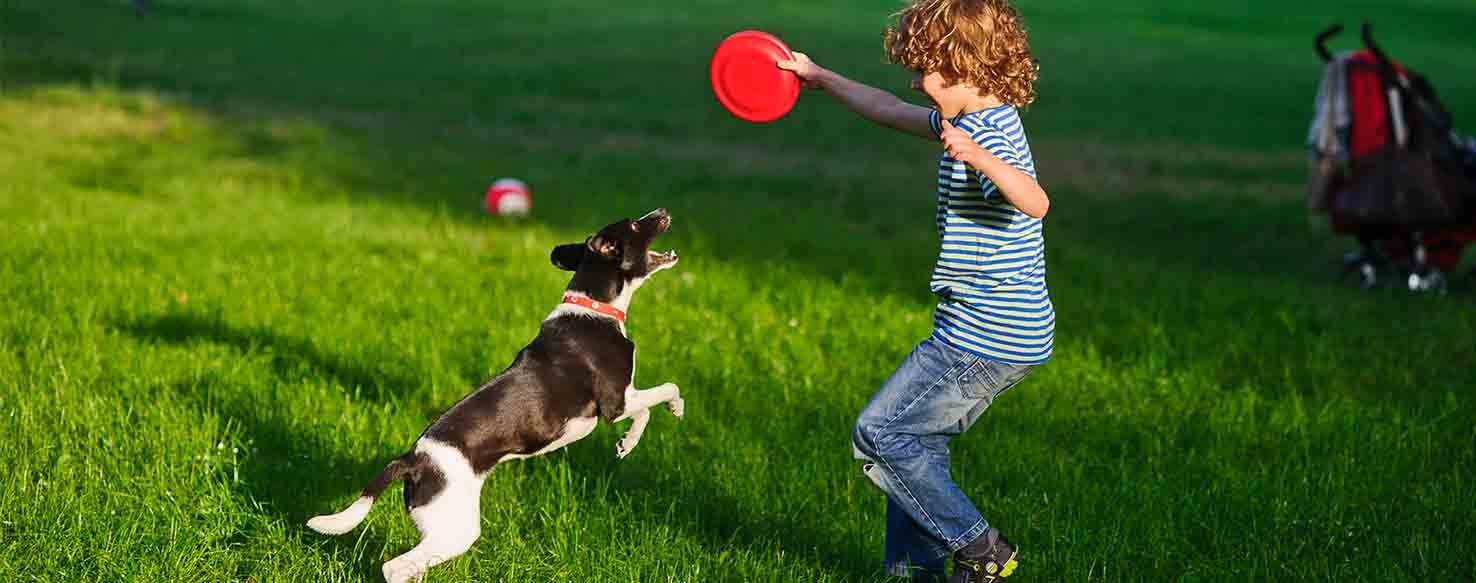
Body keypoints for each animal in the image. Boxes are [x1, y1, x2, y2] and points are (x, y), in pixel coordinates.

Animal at [309, 208, 684, 581]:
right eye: (635, 224)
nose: (663, 212)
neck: (596, 306)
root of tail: (413, 460)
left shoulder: (624, 400)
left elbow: (644, 411)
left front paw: (626, 444)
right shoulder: (614, 402)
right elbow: (667, 390)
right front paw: (675, 409)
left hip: (438, 527)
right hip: (457, 529)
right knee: (394, 567)